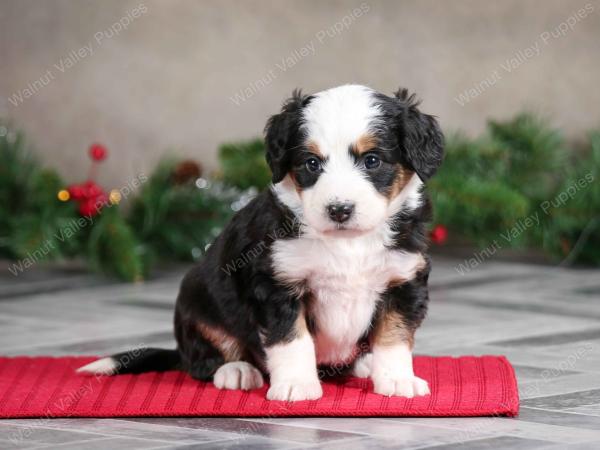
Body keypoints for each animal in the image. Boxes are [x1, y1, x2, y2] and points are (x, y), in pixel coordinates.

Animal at [78, 84, 440, 400]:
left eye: (372, 160)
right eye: (311, 164)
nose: (339, 210)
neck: (348, 243)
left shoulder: (403, 281)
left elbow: (393, 337)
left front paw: (397, 379)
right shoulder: (277, 283)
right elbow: (291, 339)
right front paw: (296, 385)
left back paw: (364, 364)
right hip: (197, 304)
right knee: (203, 359)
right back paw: (236, 370)